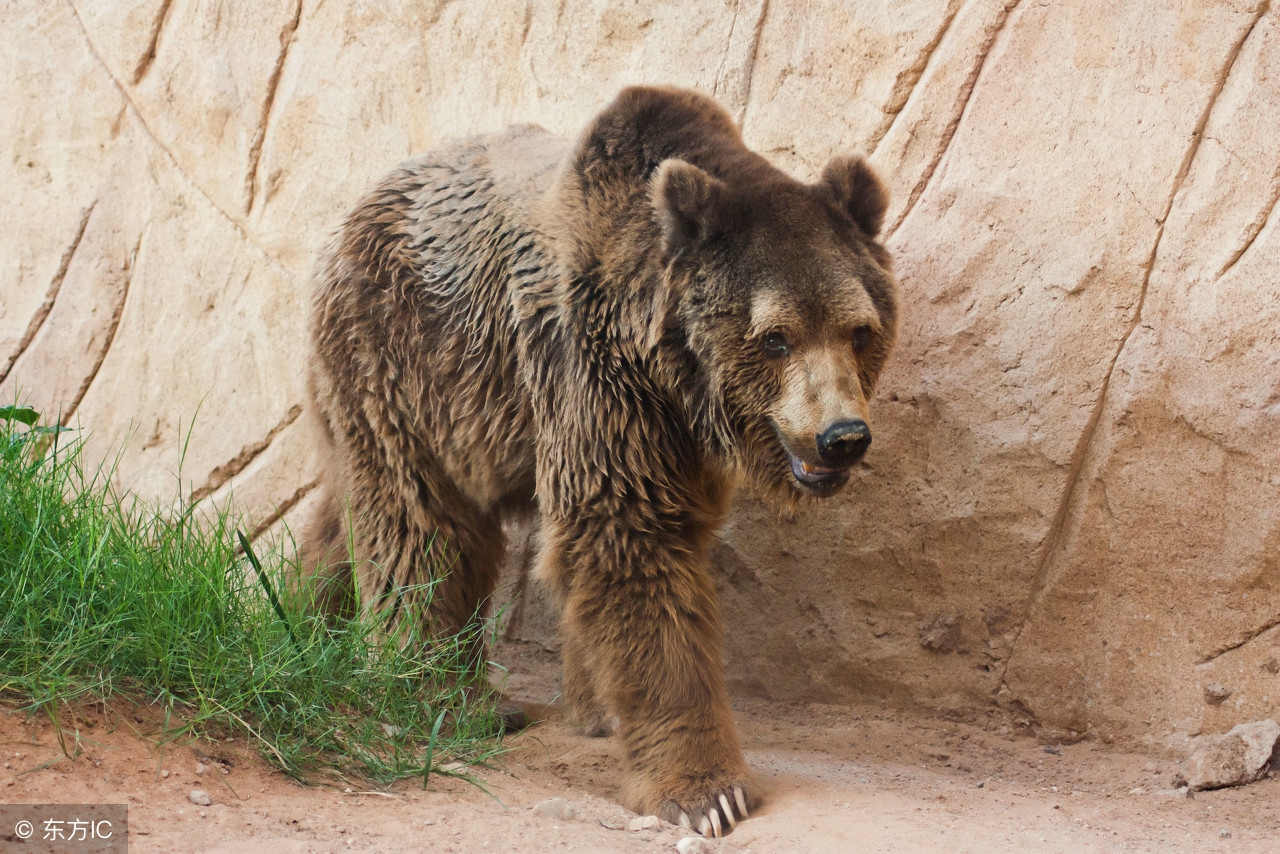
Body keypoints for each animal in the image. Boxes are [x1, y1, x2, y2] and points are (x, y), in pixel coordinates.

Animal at [304, 85, 896, 834]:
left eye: (859, 330)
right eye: (775, 337)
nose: (841, 436)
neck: (670, 362)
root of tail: (354, 210)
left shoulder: (679, 439)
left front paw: (601, 710)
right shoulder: (595, 372)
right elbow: (628, 543)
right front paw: (708, 792)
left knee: (342, 509)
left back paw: (307, 621)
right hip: (405, 357)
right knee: (420, 524)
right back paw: (439, 694)